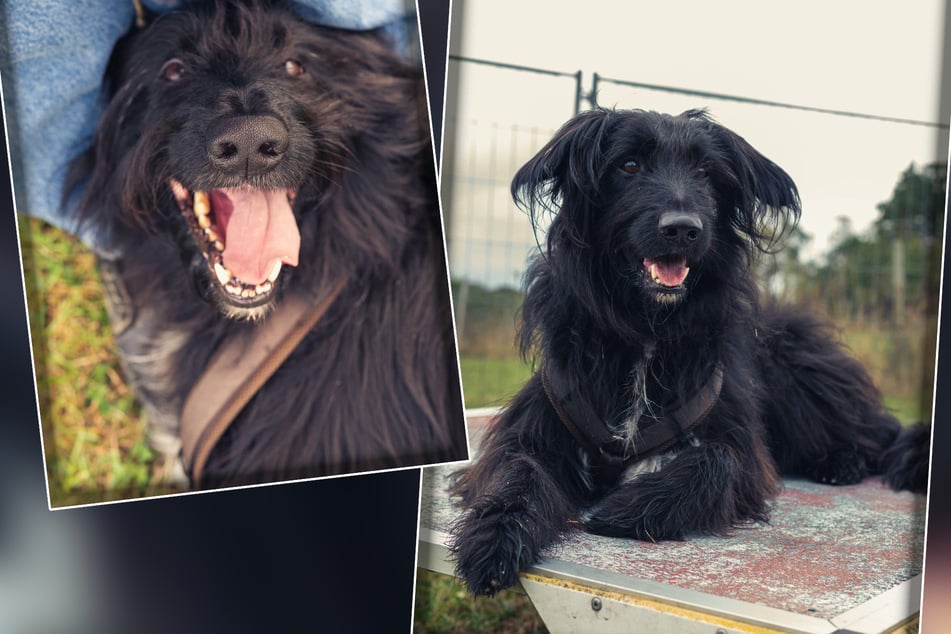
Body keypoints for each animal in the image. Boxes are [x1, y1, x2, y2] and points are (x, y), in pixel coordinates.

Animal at [450, 106, 932, 596]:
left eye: (706, 173)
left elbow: (717, 461)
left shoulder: (742, 449)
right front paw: (493, 540)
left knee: (878, 434)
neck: (645, 327)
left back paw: (845, 461)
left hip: (799, 369)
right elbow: (517, 472)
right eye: (629, 165)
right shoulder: (538, 423)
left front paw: (629, 508)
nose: (682, 229)